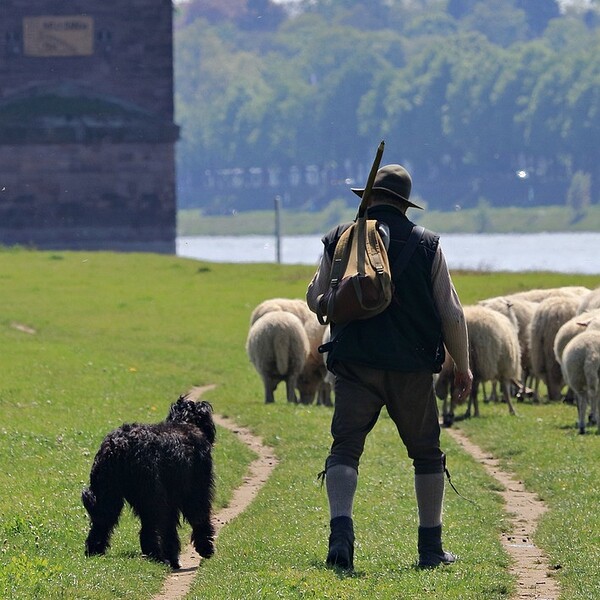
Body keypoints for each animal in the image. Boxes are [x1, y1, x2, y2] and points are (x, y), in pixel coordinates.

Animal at [82, 396, 216, 568]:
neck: (186, 423)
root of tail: (118, 445)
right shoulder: (197, 490)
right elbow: (199, 518)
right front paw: (205, 548)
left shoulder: (171, 501)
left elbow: (170, 529)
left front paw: (173, 556)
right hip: (151, 496)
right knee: (150, 529)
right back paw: (156, 555)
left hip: (107, 495)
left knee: (101, 522)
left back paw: (95, 550)